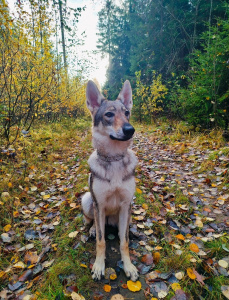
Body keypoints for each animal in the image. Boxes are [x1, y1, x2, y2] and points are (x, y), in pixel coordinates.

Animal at [81, 79, 139, 282]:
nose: (130, 129)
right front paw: (99, 266)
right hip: (88, 201)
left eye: (127, 113)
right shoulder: (99, 204)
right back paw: (91, 229)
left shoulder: (126, 204)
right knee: (92, 222)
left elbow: (124, 243)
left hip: (126, 213)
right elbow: (101, 241)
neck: (114, 159)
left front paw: (128, 266)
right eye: (109, 114)